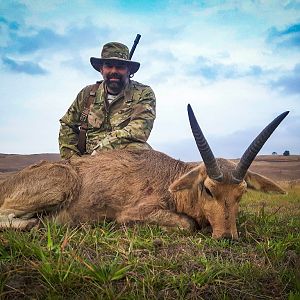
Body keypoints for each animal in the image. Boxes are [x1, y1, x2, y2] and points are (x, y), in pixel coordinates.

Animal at [0, 105, 288, 239]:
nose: (227, 237)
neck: (171, 180)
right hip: (62, 183)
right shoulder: (132, 213)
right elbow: (188, 224)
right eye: (208, 189)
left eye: (242, 192)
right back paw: (34, 223)